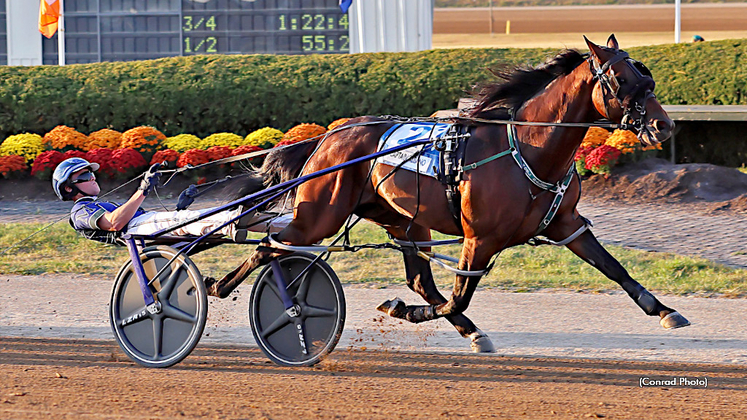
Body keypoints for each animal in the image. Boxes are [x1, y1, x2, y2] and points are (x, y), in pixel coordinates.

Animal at [207, 35, 692, 352]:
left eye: (645, 76)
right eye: (623, 79)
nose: (664, 124)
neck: (527, 149)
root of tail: (330, 135)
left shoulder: (566, 223)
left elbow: (614, 267)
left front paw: (665, 310)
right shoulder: (480, 238)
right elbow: (459, 294)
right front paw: (402, 311)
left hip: (403, 220)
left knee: (417, 278)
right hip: (319, 214)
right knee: (270, 243)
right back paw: (217, 283)